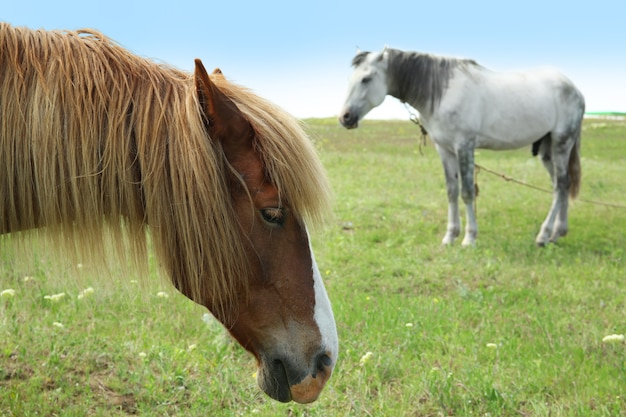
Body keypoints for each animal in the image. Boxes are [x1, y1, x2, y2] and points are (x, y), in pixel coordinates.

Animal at [338, 46, 584, 245]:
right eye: (350, 79)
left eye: (366, 79)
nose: (345, 118)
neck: (441, 91)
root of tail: (574, 88)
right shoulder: (445, 149)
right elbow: (451, 191)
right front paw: (450, 236)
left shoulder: (464, 146)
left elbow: (467, 192)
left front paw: (469, 238)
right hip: (546, 149)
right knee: (561, 185)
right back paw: (557, 233)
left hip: (562, 143)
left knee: (560, 185)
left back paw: (543, 236)